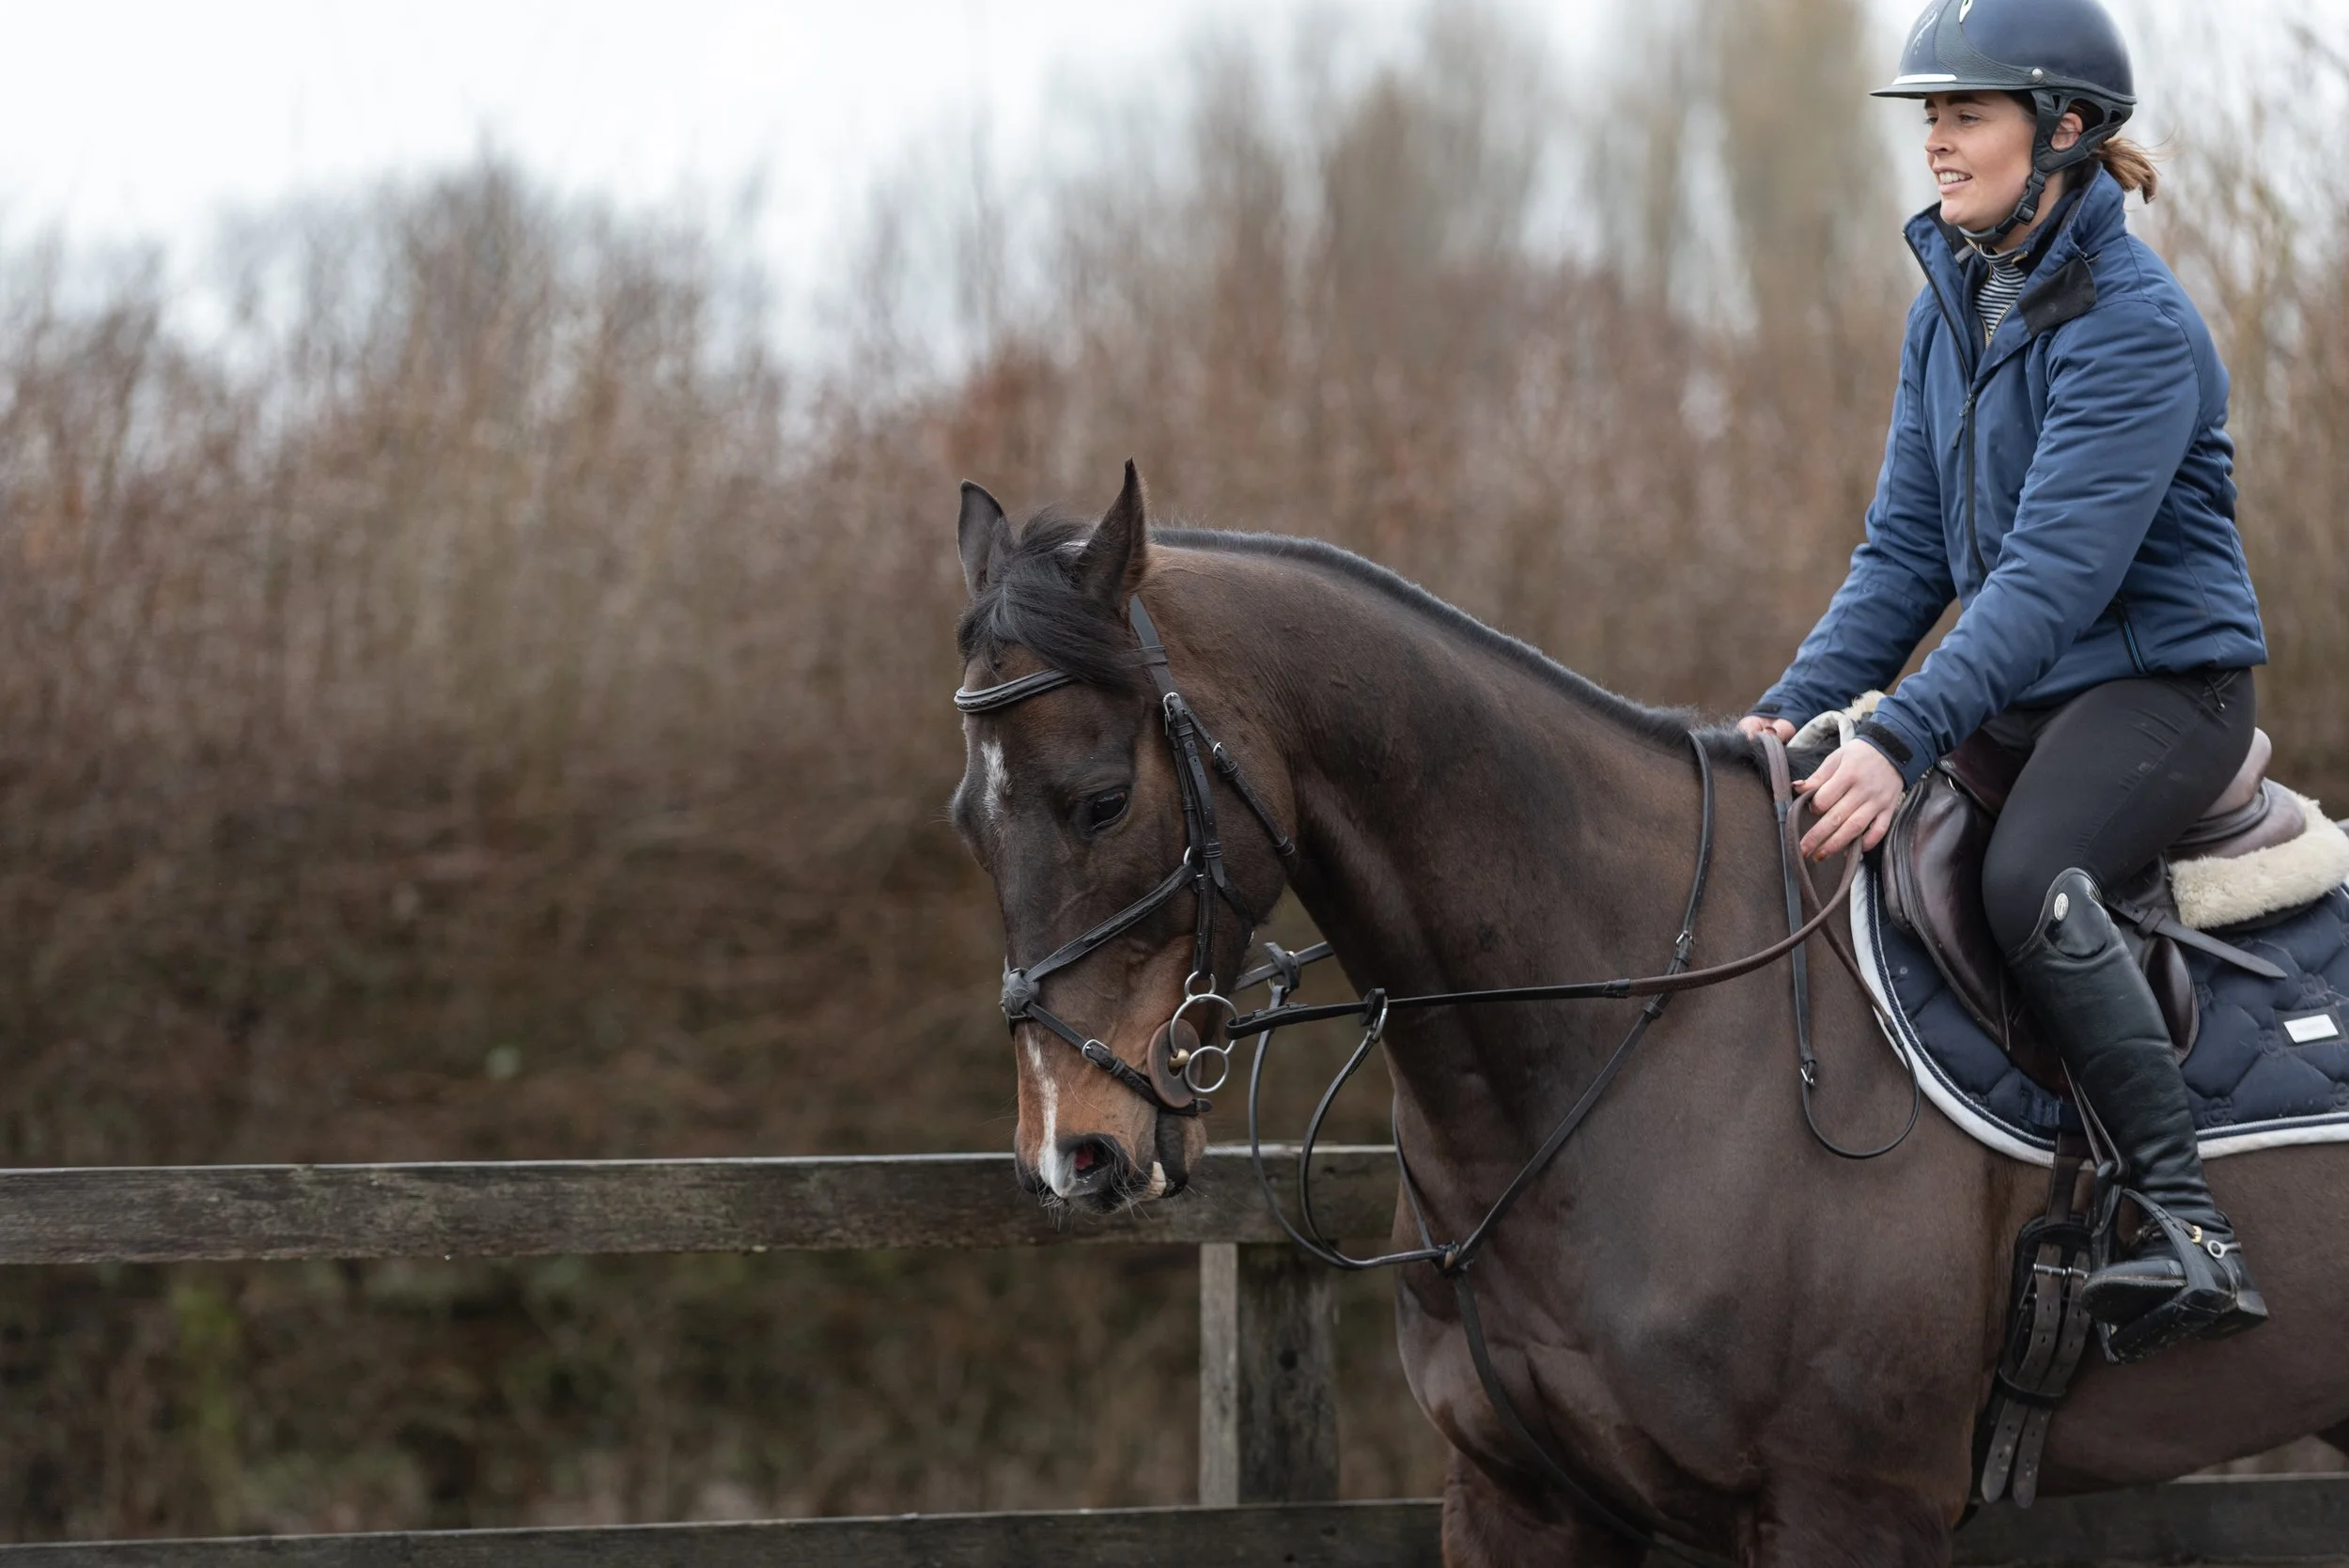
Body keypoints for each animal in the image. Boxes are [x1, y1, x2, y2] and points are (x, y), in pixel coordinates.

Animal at [945, 464, 2349, 1566]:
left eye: (1101, 801)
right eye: (969, 817)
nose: (1073, 1151)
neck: (1625, 1025)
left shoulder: (1849, 1506)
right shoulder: (1520, 1502)